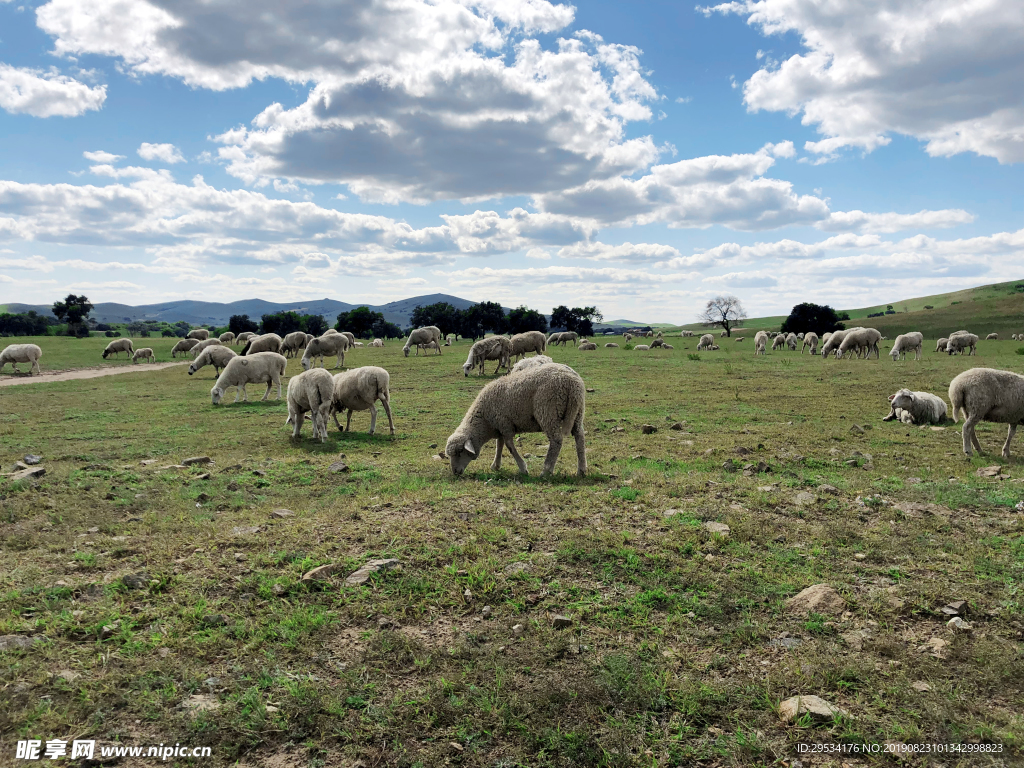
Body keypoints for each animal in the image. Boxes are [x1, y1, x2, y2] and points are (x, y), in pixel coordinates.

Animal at [446, 360, 589, 475]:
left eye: (460, 452)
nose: (455, 472)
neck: (484, 420)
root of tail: (572, 382)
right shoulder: (500, 426)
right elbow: (499, 445)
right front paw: (496, 465)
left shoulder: (505, 424)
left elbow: (509, 446)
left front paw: (523, 468)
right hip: (578, 412)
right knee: (579, 436)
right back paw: (581, 470)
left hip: (548, 411)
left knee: (556, 441)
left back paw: (546, 470)